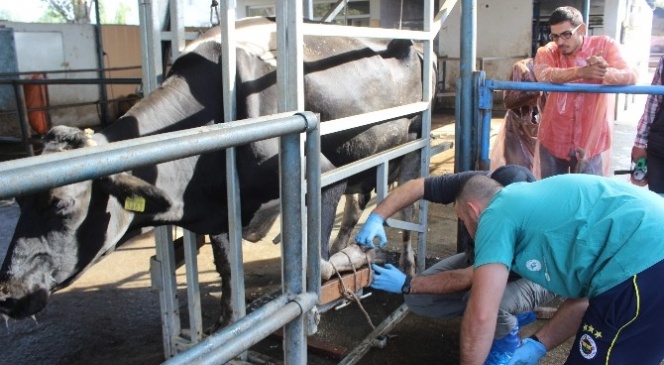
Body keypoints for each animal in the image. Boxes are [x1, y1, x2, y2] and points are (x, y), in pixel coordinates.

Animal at [0, 17, 426, 328]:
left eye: (63, 205)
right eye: (18, 202)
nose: (7, 293)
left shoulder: (322, 171)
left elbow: (315, 261)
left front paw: (335, 272)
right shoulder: (220, 206)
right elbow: (226, 266)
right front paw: (227, 319)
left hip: (412, 144)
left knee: (409, 204)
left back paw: (407, 267)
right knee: (358, 205)